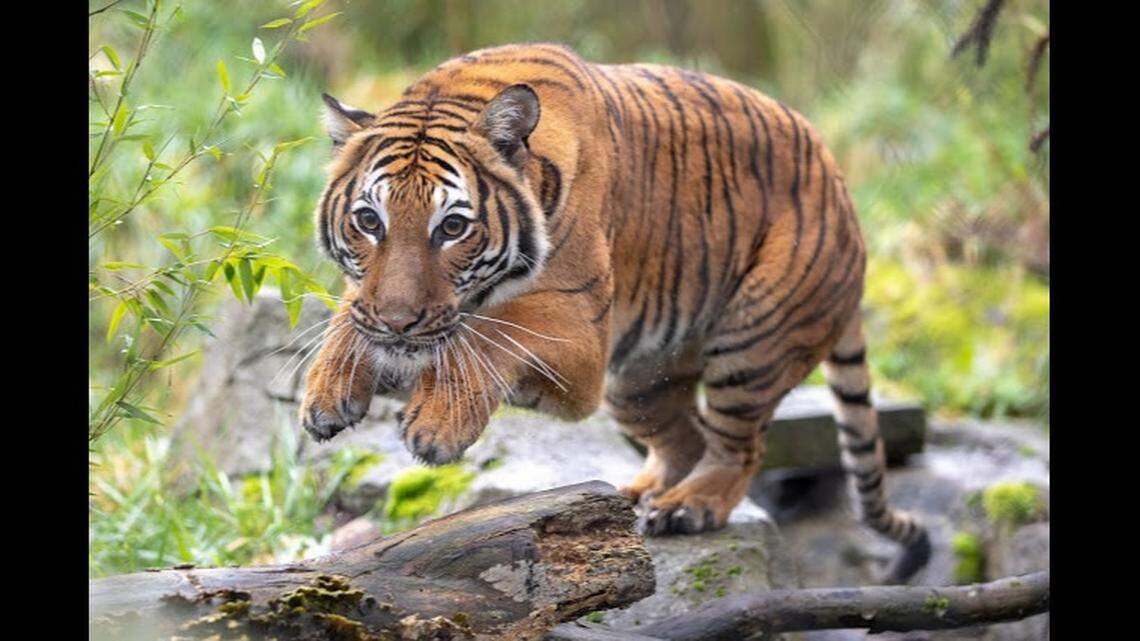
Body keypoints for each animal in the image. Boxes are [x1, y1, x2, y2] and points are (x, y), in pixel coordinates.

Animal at [300, 42, 930, 582]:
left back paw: (687, 508)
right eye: (368, 221)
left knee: (739, 446)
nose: (398, 322)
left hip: (752, 344)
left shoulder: (580, 339)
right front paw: (327, 390)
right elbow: (350, 313)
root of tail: (843, 191)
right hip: (638, 383)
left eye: (452, 227)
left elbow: (492, 331)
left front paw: (436, 426)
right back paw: (632, 499)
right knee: (687, 438)